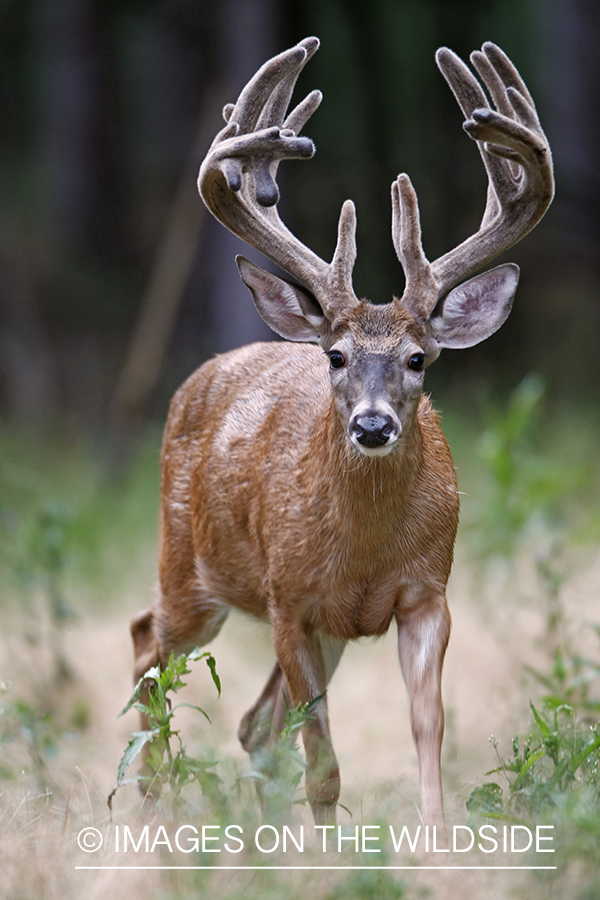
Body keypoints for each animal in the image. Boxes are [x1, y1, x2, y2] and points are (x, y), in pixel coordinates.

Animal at [130, 35, 552, 828]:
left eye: (419, 358)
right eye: (335, 356)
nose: (374, 424)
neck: (363, 552)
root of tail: (204, 374)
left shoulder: (426, 592)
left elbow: (427, 727)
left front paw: (434, 837)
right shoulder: (290, 599)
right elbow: (322, 761)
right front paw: (328, 846)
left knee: (253, 725)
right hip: (187, 565)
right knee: (148, 646)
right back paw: (145, 805)